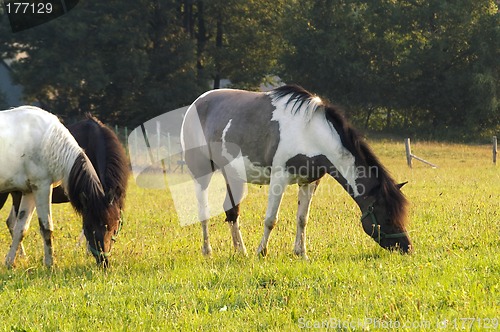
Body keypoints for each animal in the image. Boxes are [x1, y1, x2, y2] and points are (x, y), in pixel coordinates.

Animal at [0, 107, 123, 268]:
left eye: (114, 228)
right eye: (89, 227)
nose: (103, 262)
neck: (49, 141)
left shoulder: (29, 191)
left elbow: (21, 229)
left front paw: (9, 263)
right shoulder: (42, 187)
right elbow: (46, 227)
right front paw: (50, 264)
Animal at [182, 85, 412, 256]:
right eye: (388, 218)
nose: (407, 247)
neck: (310, 133)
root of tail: (196, 103)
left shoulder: (309, 182)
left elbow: (302, 219)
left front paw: (301, 253)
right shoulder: (279, 179)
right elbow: (271, 219)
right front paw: (261, 252)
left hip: (233, 175)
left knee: (232, 212)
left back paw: (241, 251)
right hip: (201, 173)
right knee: (203, 210)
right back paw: (207, 250)